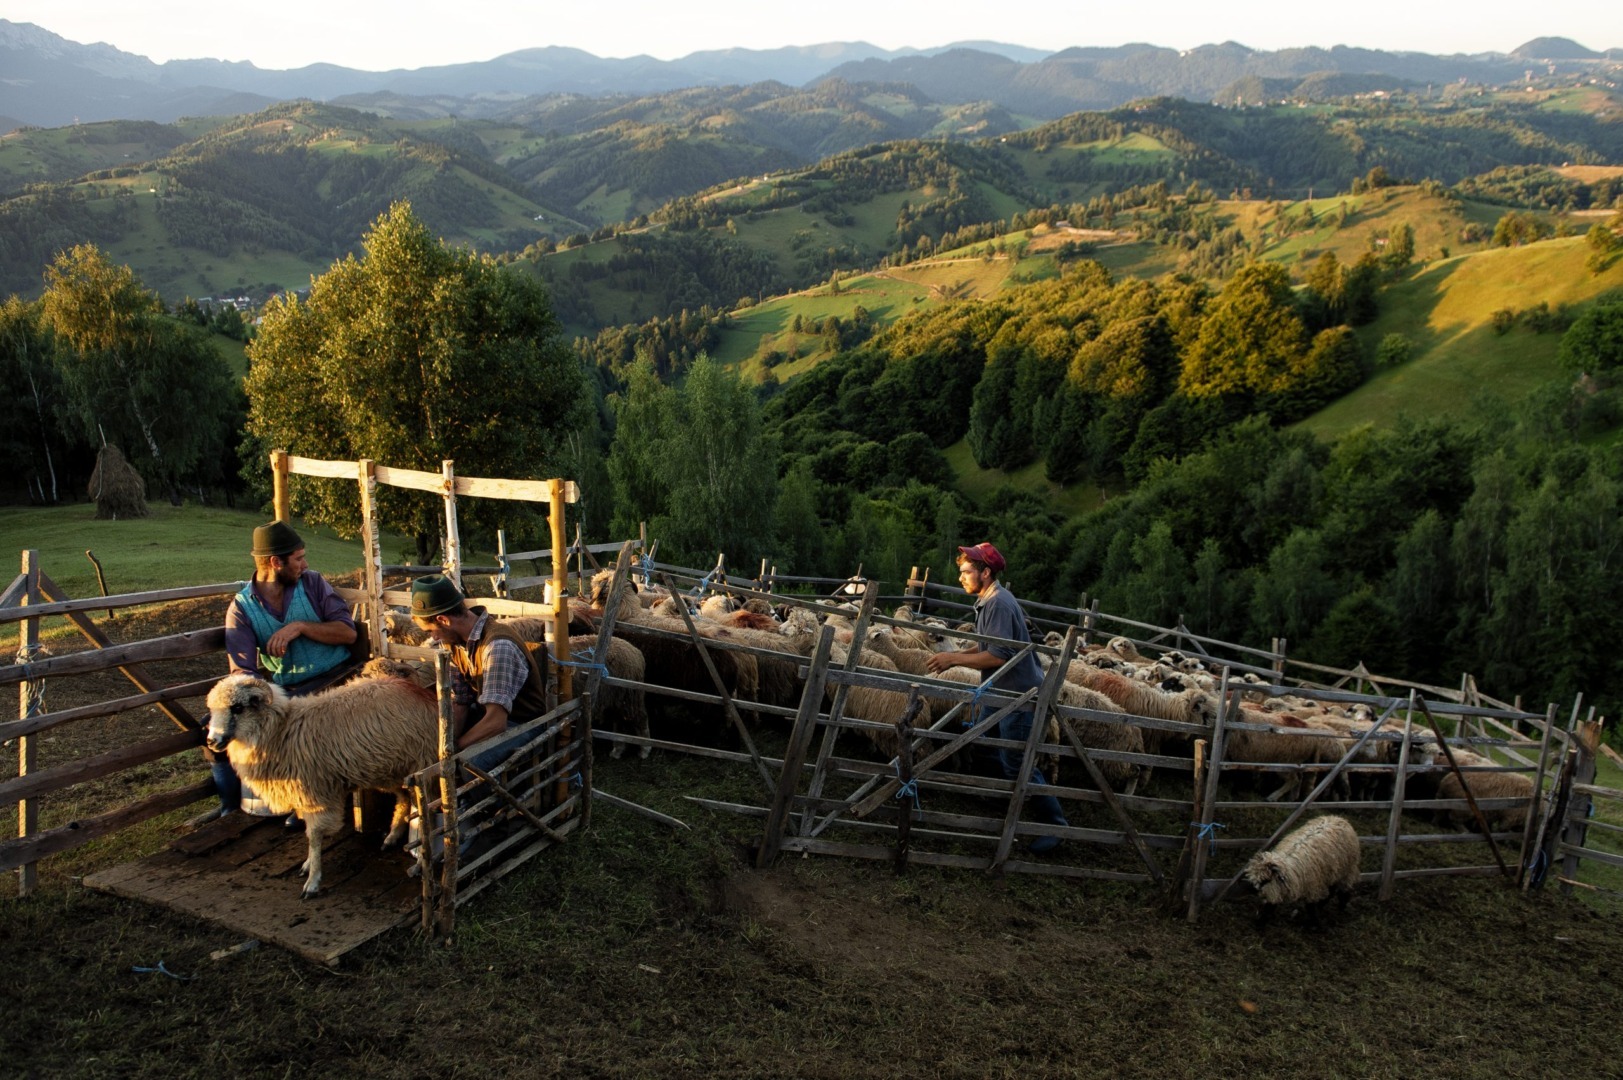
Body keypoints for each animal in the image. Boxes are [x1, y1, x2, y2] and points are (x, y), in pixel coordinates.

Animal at [206, 675, 441, 889]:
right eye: (212, 710)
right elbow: (310, 833)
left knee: (426, 815)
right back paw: (392, 836)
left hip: (421, 768)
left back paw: (420, 862)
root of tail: (425, 695)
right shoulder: (304, 797)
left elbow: (314, 835)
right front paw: (309, 864)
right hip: (387, 770)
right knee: (403, 799)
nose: (211, 741)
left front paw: (313, 880)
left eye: (237, 707)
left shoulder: (316, 796)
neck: (280, 732)